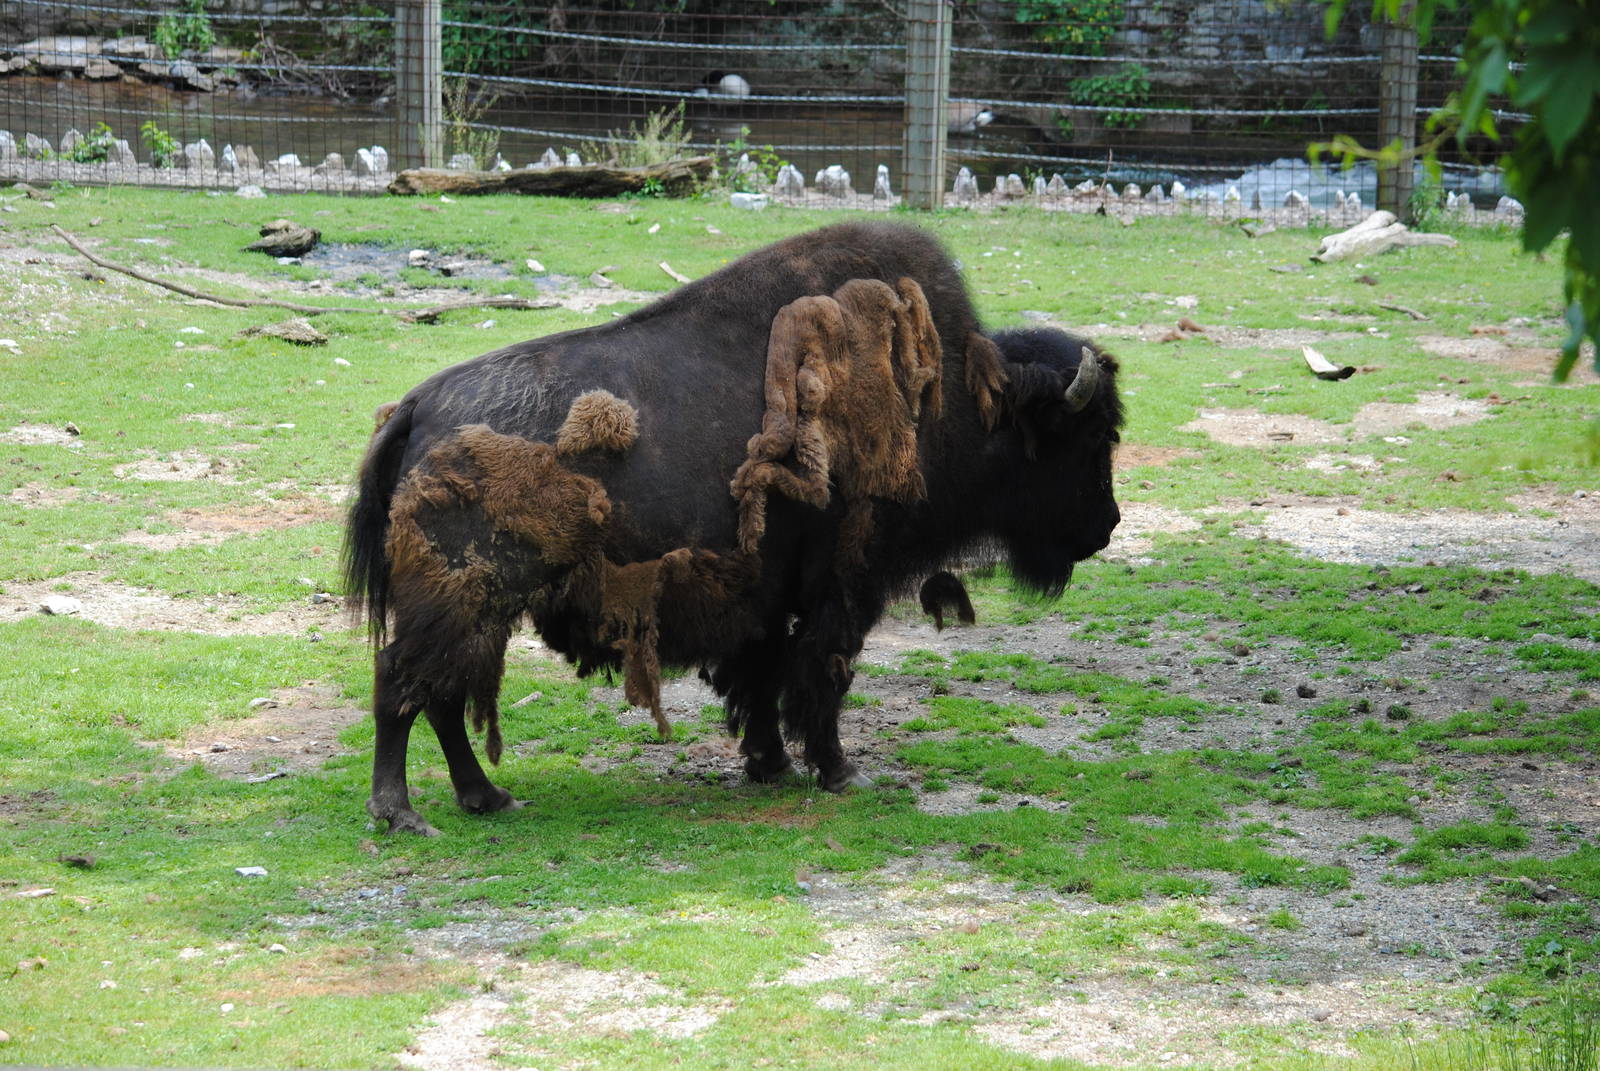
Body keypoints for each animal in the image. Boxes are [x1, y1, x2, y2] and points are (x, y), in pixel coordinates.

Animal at [344, 221, 1121, 835]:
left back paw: (486, 797)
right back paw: (402, 813)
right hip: (462, 599)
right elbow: (821, 672)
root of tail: (416, 406)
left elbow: (765, 673)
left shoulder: (768, 592)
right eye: (1084, 438)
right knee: (403, 682)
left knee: (439, 694)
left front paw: (769, 763)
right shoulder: (844, 585)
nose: (1106, 527)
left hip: (477, 609)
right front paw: (839, 772)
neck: (961, 396)